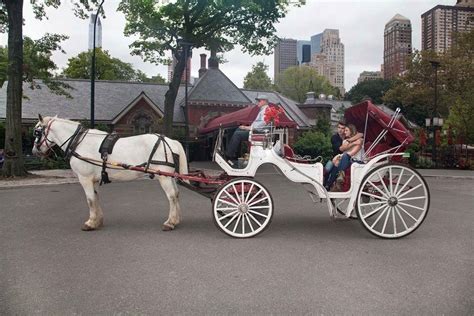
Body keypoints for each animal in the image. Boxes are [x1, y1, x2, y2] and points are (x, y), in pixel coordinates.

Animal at [32, 115, 188, 231]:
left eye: (37, 132)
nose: (34, 151)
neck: (79, 142)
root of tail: (170, 141)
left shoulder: (85, 178)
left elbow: (90, 200)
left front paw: (90, 222)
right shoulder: (94, 180)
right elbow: (95, 198)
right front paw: (97, 221)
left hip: (163, 176)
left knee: (171, 196)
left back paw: (170, 222)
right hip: (169, 176)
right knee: (176, 194)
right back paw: (176, 220)